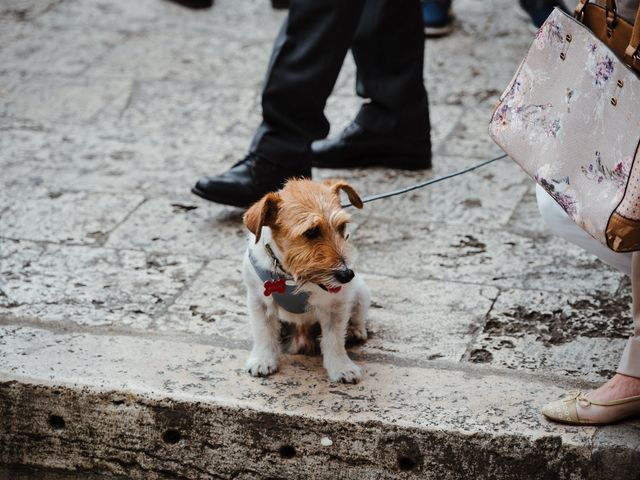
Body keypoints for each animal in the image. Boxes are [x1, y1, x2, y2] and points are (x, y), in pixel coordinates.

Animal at [240, 178, 370, 384]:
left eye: (342, 227)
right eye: (311, 232)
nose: (347, 274)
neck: (291, 277)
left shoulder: (336, 305)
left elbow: (334, 339)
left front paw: (341, 367)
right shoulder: (259, 302)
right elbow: (264, 332)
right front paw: (263, 360)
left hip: (361, 293)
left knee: (358, 315)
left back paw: (355, 330)